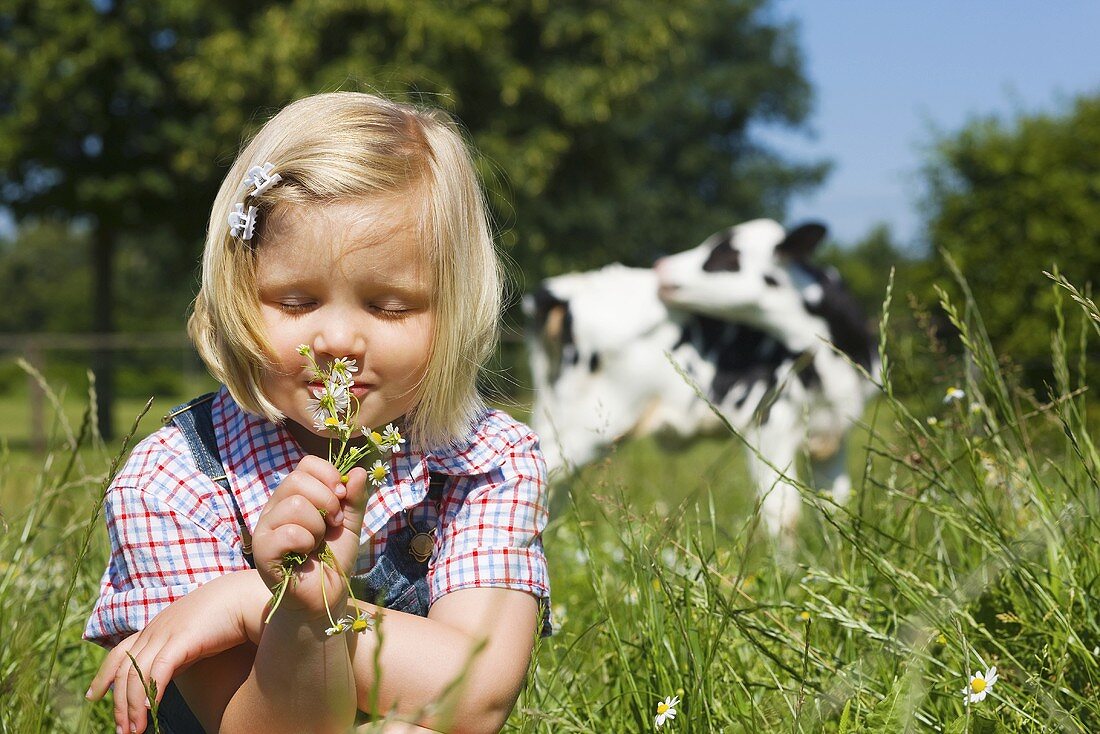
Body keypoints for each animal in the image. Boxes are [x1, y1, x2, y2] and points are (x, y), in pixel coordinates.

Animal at [523, 221, 875, 537]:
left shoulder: (836, 433)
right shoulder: (767, 422)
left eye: (725, 255)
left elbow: (835, 507)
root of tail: (573, 286)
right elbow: (783, 516)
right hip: (590, 424)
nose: (661, 265)